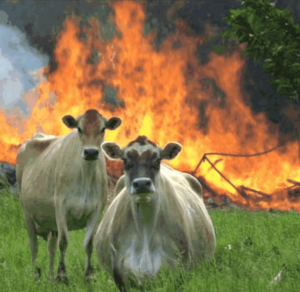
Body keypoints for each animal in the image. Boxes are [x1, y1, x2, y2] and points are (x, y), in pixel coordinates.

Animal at [16, 109, 122, 282]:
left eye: (103, 129)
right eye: (79, 129)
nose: (91, 152)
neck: (85, 175)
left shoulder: (96, 209)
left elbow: (88, 243)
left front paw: (88, 275)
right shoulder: (61, 207)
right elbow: (64, 241)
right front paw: (62, 274)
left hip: (51, 221)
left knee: (51, 247)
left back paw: (51, 277)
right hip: (27, 213)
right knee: (34, 246)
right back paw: (36, 275)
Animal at [94, 136, 216, 290]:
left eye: (157, 160)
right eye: (125, 160)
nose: (141, 183)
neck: (145, 228)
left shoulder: (180, 271)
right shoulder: (120, 275)